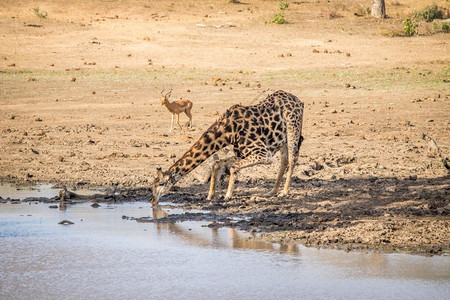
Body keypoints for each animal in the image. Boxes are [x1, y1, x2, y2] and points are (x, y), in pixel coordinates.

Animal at [153, 90, 304, 205]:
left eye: (161, 184)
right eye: (153, 184)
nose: (153, 201)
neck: (227, 131)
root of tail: (298, 101)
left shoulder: (263, 154)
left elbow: (233, 167)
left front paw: (227, 195)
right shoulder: (240, 152)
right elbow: (217, 164)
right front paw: (210, 195)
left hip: (293, 128)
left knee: (292, 159)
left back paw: (284, 192)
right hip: (281, 138)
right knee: (284, 160)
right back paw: (272, 191)